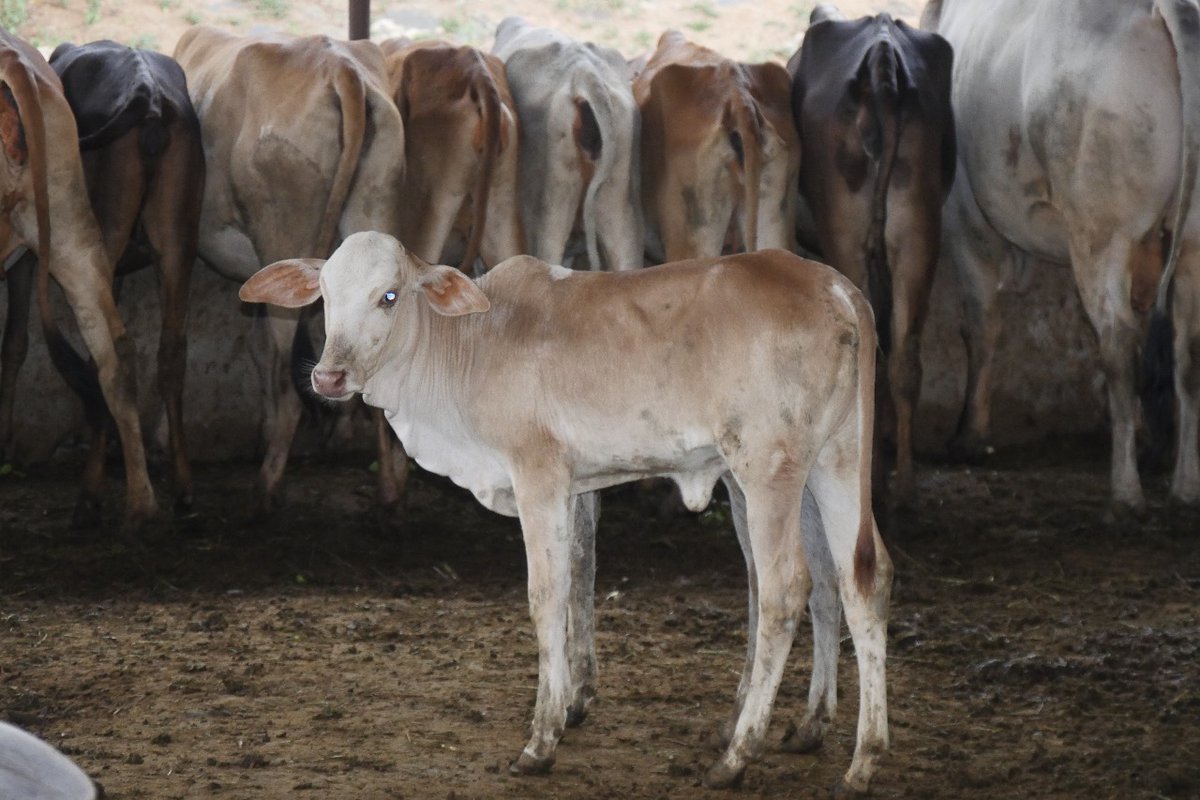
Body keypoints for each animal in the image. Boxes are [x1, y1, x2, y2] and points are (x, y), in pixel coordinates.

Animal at [174, 26, 408, 517]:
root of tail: (339, 67)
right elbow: (260, 347)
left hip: (284, 233)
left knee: (287, 383)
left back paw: (266, 488)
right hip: (373, 213)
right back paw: (389, 495)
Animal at [240, 231, 893, 794]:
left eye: (389, 295)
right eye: (325, 295)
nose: (330, 375)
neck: (470, 345)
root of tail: (834, 284)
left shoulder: (539, 476)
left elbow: (546, 595)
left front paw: (541, 739)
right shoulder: (580, 487)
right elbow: (582, 576)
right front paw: (575, 701)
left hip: (767, 469)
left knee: (784, 588)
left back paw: (737, 755)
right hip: (834, 460)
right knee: (861, 578)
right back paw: (859, 759)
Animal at [789, 6, 956, 508]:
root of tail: (882, 56)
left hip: (848, 238)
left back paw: (876, 482)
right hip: (917, 235)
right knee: (904, 358)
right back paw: (903, 488)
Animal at [922, 0, 1200, 513]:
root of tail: (1159, 8)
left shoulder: (965, 222)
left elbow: (981, 326)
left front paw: (970, 436)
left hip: (1100, 232)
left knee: (1117, 341)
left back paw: (1125, 490)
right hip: (1190, 243)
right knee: (1186, 350)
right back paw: (1185, 484)